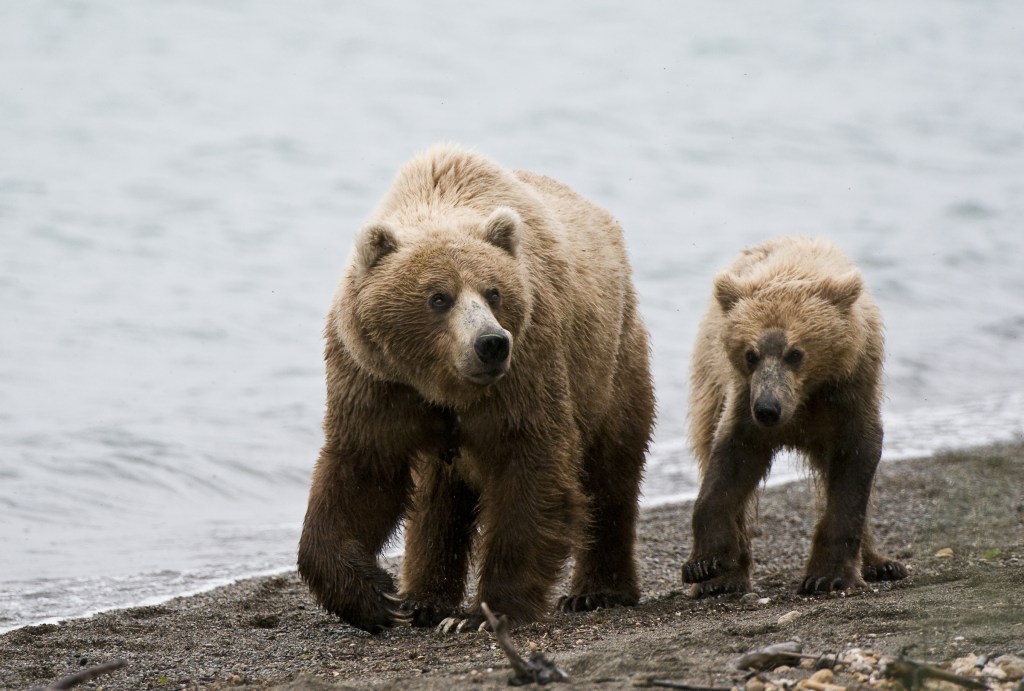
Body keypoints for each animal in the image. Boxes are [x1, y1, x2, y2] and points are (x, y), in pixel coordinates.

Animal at [296, 143, 651, 634]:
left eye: (493, 291)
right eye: (438, 297)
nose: (491, 343)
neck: (442, 385)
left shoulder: (526, 371)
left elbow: (532, 470)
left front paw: (486, 613)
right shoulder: (375, 379)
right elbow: (362, 471)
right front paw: (375, 597)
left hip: (611, 364)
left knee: (610, 471)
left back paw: (597, 591)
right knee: (436, 503)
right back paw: (423, 600)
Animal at [684, 235, 909, 597]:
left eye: (795, 353)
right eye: (751, 354)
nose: (768, 409)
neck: (806, 398)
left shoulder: (851, 394)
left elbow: (854, 469)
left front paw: (827, 576)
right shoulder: (742, 399)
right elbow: (729, 464)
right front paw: (705, 564)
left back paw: (882, 563)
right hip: (710, 382)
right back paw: (725, 579)